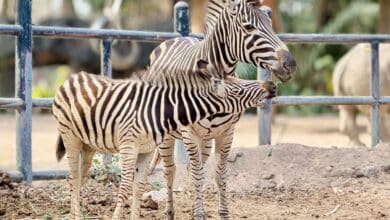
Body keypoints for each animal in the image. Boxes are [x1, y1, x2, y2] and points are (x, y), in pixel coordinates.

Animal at [52, 59, 278, 219]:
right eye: (238, 90)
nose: (272, 86)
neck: (158, 110)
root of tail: (72, 77)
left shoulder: (147, 149)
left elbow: (138, 186)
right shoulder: (129, 145)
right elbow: (124, 188)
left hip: (88, 144)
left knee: (78, 177)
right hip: (70, 137)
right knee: (72, 177)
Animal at [146, 0, 296, 218]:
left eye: (270, 23)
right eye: (249, 27)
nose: (291, 65)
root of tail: (177, 38)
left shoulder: (226, 133)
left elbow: (219, 174)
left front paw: (219, 213)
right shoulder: (189, 133)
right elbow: (197, 175)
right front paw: (199, 214)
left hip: (206, 139)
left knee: (193, 168)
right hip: (167, 135)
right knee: (170, 170)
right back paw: (170, 211)